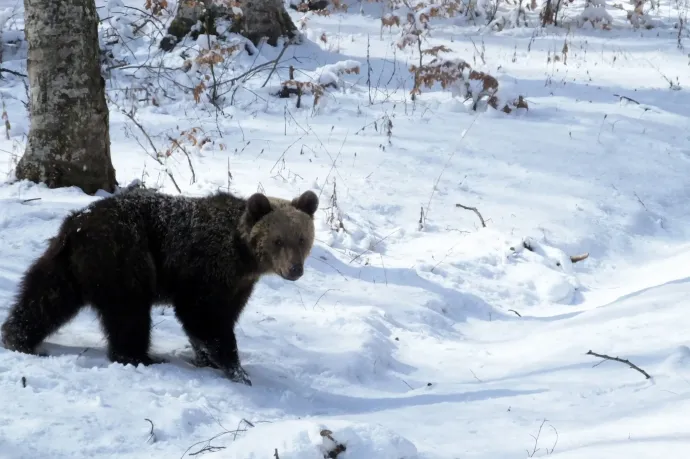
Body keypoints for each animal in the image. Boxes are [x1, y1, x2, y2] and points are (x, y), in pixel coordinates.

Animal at [0, 185, 318, 386]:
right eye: (278, 240)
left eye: (302, 238)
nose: (295, 270)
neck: (243, 255)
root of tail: (76, 226)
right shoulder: (206, 269)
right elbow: (204, 317)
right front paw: (236, 369)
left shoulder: (238, 284)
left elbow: (218, 317)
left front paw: (207, 358)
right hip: (125, 257)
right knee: (129, 315)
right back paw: (140, 356)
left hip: (68, 265)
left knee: (44, 298)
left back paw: (18, 338)